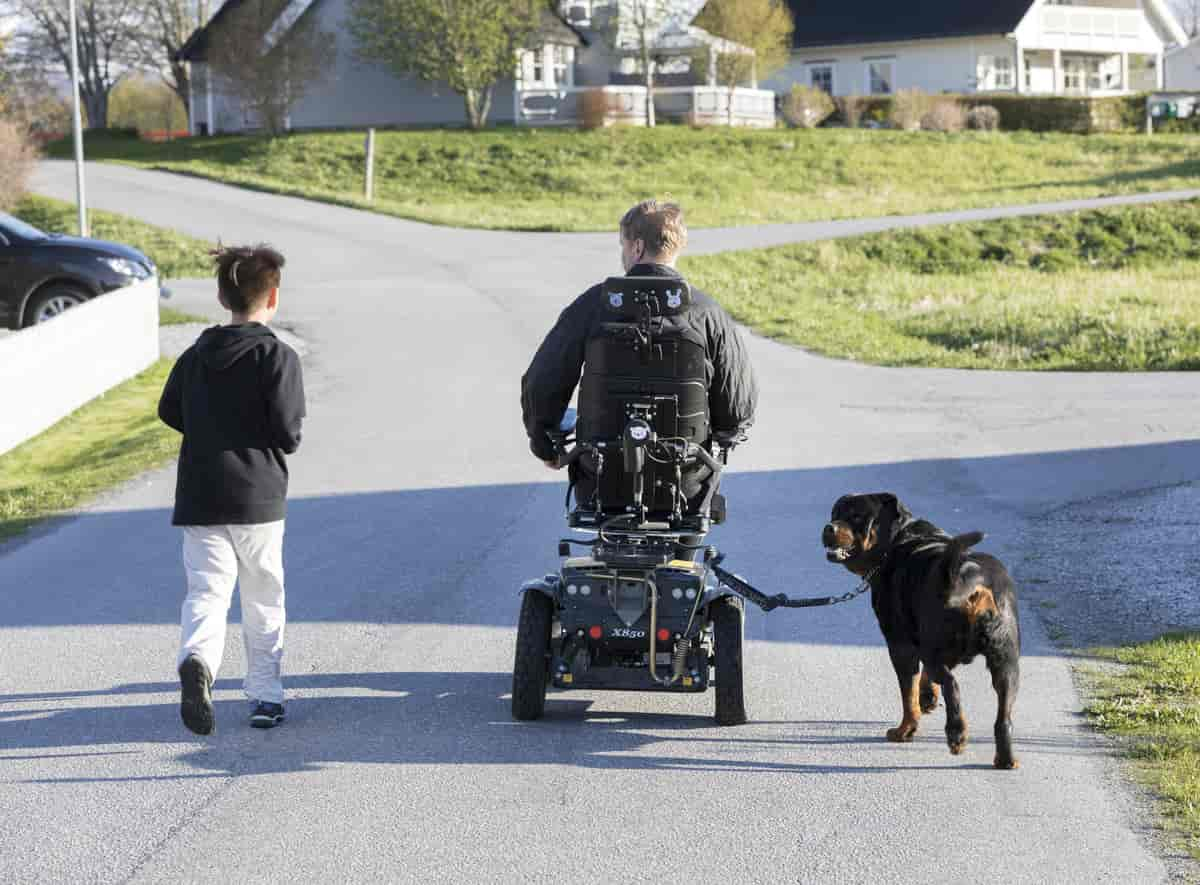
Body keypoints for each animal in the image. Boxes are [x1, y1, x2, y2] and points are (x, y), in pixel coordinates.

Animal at [825, 489, 1022, 767]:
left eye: (856, 517)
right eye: (834, 514)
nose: (829, 527)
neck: (895, 540)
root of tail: (972, 580)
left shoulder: (900, 645)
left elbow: (908, 694)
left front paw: (905, 730)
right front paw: (928, 696)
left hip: (934, 649)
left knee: (952, 684)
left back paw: (956, 734)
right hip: (1006, 660)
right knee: (1003, 714)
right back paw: (1005, 758)